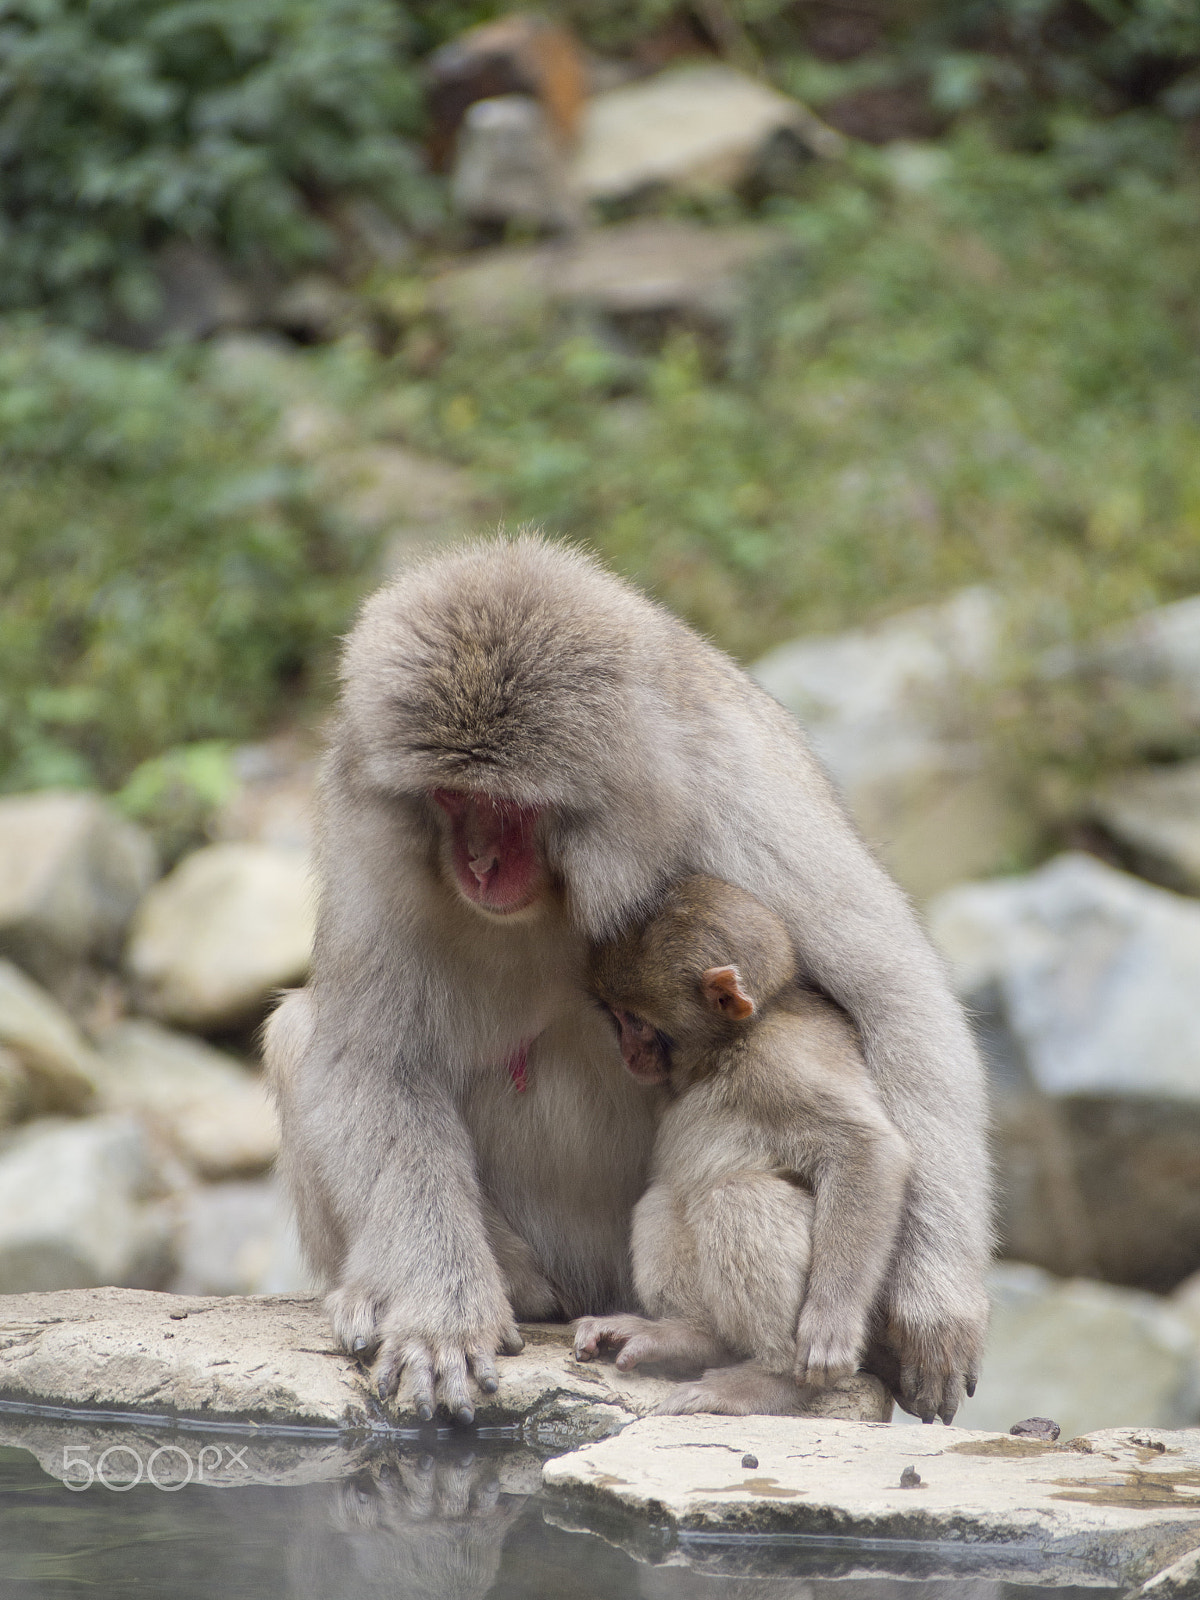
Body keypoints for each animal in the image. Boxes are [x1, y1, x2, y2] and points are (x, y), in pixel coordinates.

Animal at [573, 875, 911, 1415]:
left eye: (637, 1021)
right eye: (616, 1018)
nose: (627, 1052)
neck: (723, 1050)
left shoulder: (778, 1062)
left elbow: (866, 1149)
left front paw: (830, 1321)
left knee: (736, 1195)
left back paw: (772, 1379)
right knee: (665, 1198)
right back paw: (691, 1336)